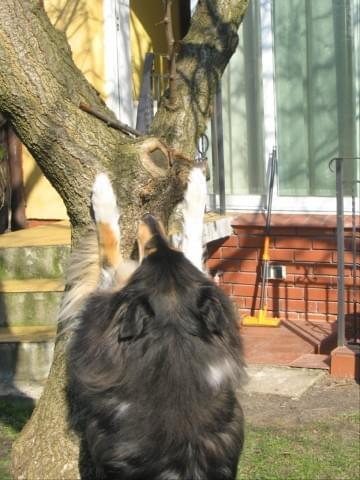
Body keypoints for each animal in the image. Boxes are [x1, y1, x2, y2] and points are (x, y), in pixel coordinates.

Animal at [65, 167, 245, 478]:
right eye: (159, 249)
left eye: (151, 250)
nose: (149, 216)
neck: (173, 341)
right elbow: (193, 242)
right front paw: (197, 186)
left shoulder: (102, 303)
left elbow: (108, 246)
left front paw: (102, 193)